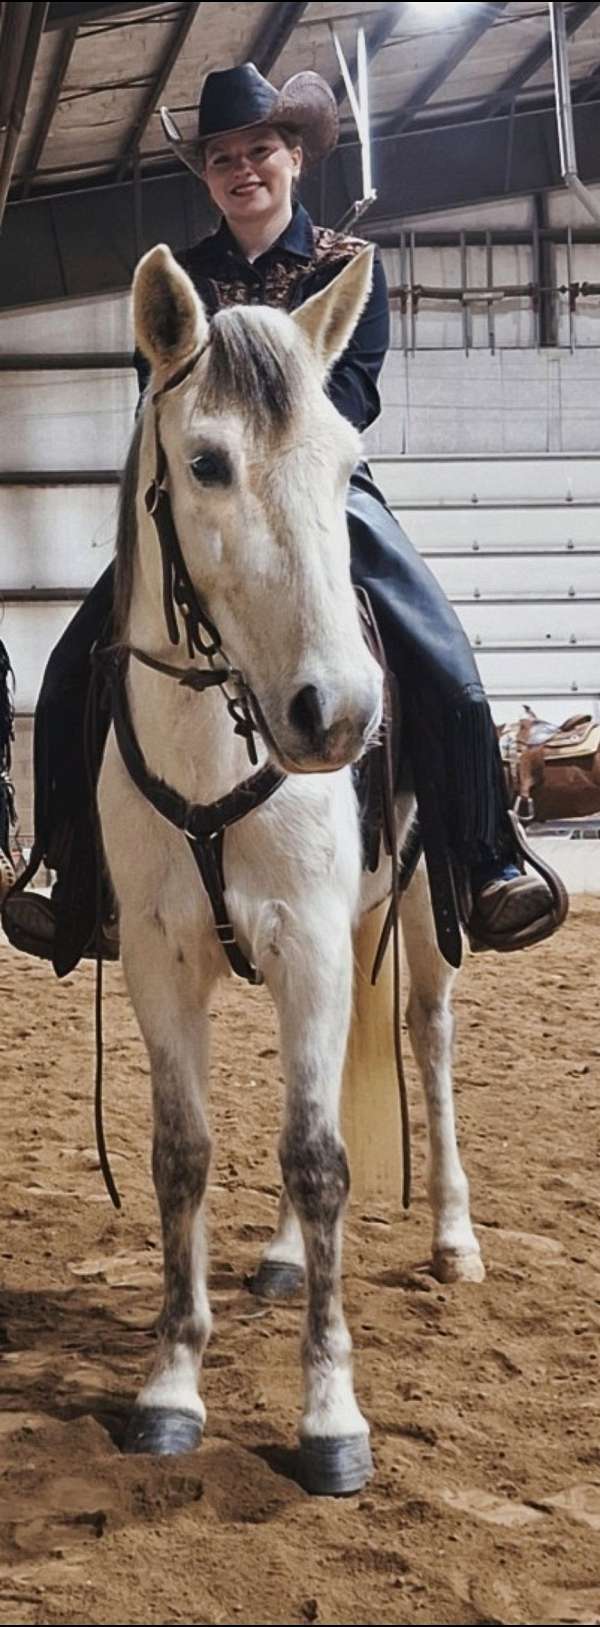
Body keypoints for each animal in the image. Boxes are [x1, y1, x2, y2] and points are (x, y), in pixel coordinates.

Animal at [97, 243, 484, 1497]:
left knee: (427, 1043)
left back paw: (454, 1237)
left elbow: (320, 1160)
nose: (341, 715)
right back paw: (273, 1256)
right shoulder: (161, 961)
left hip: (419, 924)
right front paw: (172, 1384)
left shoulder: (313, 941)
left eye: (348, 461)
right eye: (207, 462)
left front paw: (330, 1417)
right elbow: (184, 1156)